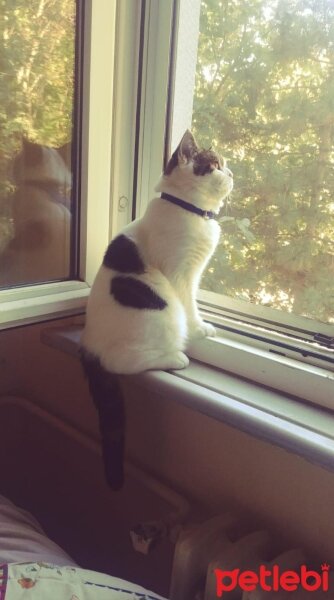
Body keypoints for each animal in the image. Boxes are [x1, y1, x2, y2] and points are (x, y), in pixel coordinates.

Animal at [80, 130, 234, 488]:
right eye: (217, 164)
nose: (233, 172)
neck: (190, 212)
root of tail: (87, 343)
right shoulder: (182, 274)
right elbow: (191, 305)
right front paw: (201, 328)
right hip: (162, 314)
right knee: (122, 362)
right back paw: (176, 357)